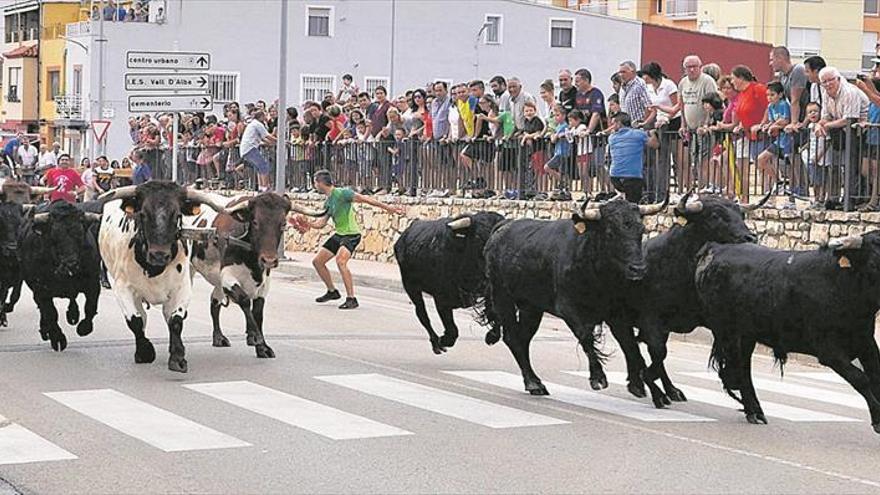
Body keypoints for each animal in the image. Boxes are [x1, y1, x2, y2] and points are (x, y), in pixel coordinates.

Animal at [396, 211, 506, 354]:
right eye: (478, 236)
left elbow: (494, 313)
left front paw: (492, 336)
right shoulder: (441, 299)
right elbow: (452, 330)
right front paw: (444, 340)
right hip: (411, 287)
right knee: (422, 314)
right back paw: (436, 344)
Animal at [482, 197, 668, 396]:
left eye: (641, 230)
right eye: (610, 233)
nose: (638, 268)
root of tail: (503, 227)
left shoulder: (616, 312)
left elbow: (629, 343)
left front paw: (636, 383)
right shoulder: (568, 308)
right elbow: (586, 337)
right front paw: (598, 378)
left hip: (531, 307)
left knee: (523, 338)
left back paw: (534, 382)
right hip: (502, 298)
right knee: (513, 338)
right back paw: (533, 382)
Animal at [696, 233, 880, 434]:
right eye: (874, 263)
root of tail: (716, 248)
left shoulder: (867, 343)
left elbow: (875, 377)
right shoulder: (829, 351)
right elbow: (861, 379)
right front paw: (877, 419)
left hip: (746, 335)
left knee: (744, 367)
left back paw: (756, 412)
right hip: (728, 331)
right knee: (739, 368)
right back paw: (753, 411)